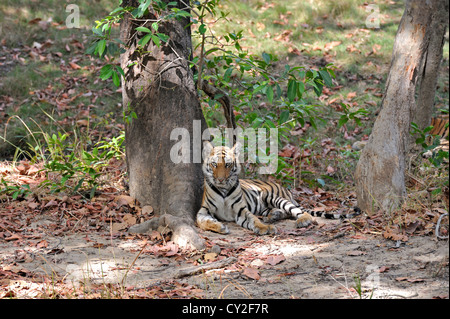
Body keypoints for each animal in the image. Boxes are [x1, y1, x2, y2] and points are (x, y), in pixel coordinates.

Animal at [198, 142, 362, 235]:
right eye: (214, 164)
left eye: (227, 164)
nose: (220, 179)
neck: (223, 190)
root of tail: (287, 191)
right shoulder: (203, 211)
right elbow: (203, 222)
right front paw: (219, 227)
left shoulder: (241, 210)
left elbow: (253, 220)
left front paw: (264, 228)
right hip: (264, 205)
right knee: (282, 212)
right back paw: (273, 216)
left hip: (272, 196)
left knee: (299, 212)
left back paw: (302, 221)